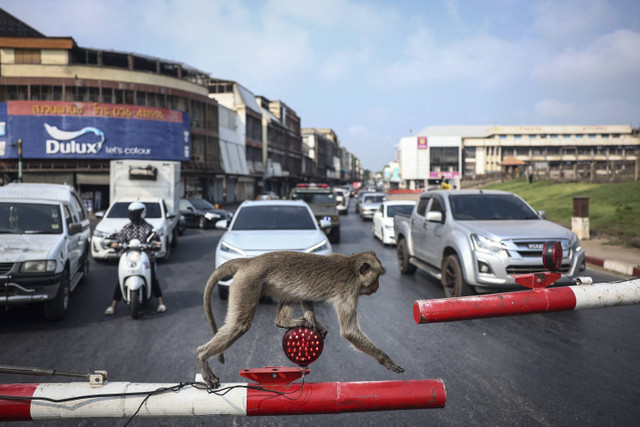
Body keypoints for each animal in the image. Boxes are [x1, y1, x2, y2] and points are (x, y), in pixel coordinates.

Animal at [196, 251, 404, 392]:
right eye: (377, 277)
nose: (377, 287)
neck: (351, 266)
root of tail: (251, 261)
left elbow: (306, 296)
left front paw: (313, 321)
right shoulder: (349, 291)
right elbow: (350, 331)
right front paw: (386, 360)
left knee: (291, 293)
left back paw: (284, 321)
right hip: (248, 283)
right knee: (240, 324)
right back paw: (202, 356)